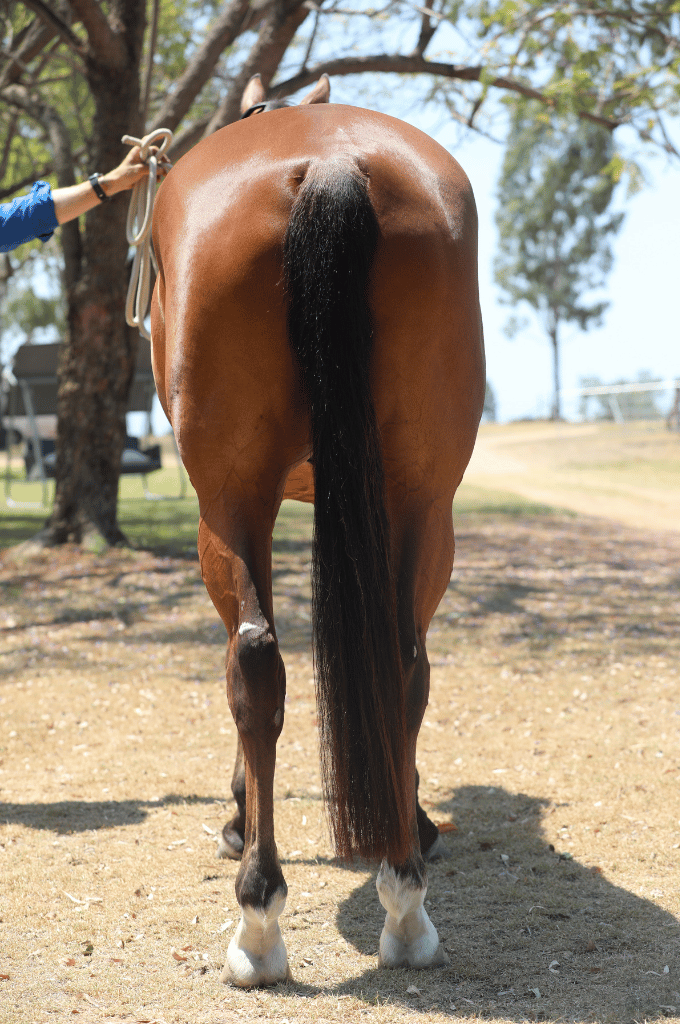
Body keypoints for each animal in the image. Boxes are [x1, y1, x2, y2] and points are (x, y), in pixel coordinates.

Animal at [150, 73, 485, 987]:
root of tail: (331, 163)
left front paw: (239, 817)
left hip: (230, 501)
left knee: (256, 662)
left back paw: (260, 919)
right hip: (421, 499)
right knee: (401, 661)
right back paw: (404, 892)